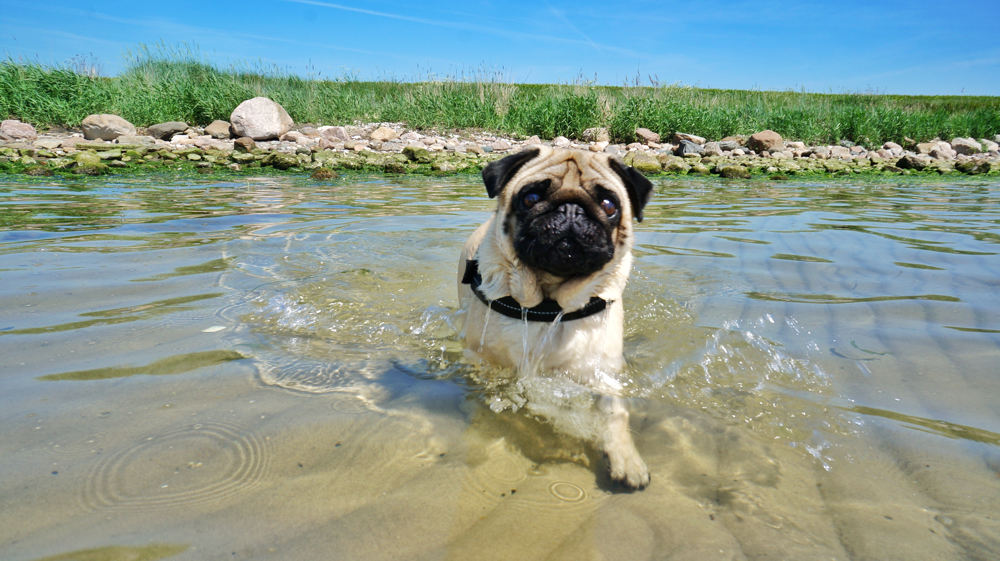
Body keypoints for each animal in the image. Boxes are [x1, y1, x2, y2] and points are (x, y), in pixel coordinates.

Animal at [456, 145, 656, 490]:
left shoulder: (602, 372)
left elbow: (615, 414)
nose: (571, 209)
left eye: (609, 205)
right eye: (531, 198)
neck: (548, 304)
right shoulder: (487, 364)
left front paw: (625, 458)